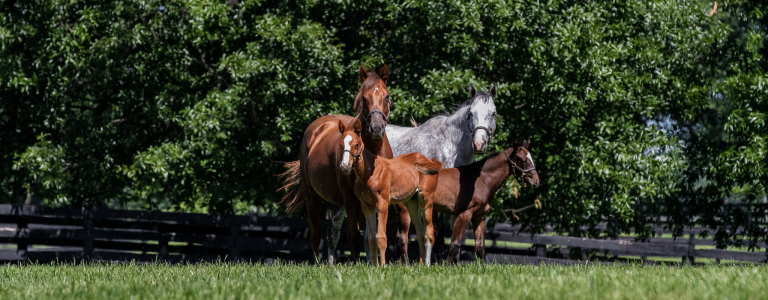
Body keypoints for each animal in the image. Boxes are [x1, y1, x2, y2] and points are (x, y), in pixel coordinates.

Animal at [280, 65, 392, 264]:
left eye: (386, 96)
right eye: (364, 98)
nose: (377, 128)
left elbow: (371, 237)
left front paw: (373, 263)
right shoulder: (351, 199)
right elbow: (354, 237)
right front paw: (357, 265)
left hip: (337, 203)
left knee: (333, 235)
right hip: (313, 198)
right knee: (316, 234)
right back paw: (317, 263)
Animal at [340, 118, 440, 266]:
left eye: (356, 144)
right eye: (341, 144)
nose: (345, 166)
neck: (369, 174)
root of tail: (429, 160)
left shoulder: (382, 204)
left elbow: (381, 237)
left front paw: (382, 266)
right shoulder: (367, 206)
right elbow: (371, 238)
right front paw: (374, 265)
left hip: (426, 199)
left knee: (429, 232)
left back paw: (427, 265)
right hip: (412, 202)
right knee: (420, 233)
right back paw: (420, 265)